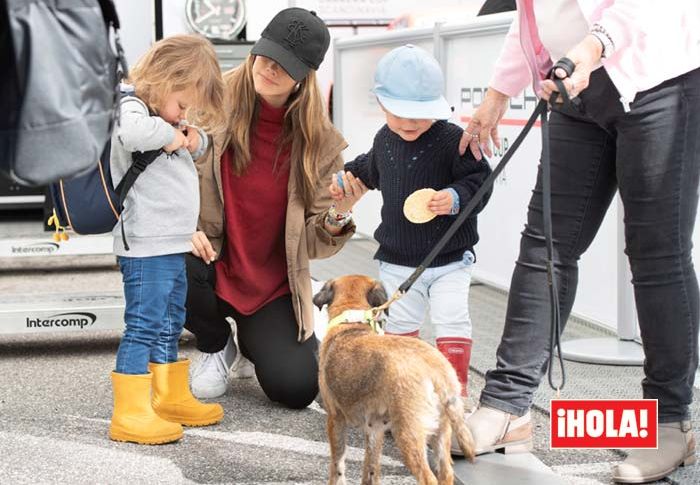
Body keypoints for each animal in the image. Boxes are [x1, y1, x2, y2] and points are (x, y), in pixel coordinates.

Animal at [314, 276, 474, 484]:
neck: (352, 324)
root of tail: (438, 369)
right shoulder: (374, 428)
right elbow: (371, 467)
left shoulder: (335, 419)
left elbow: (337, 463)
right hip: (440, 432)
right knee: (446, 473)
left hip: (408, 435)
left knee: (428, 478)